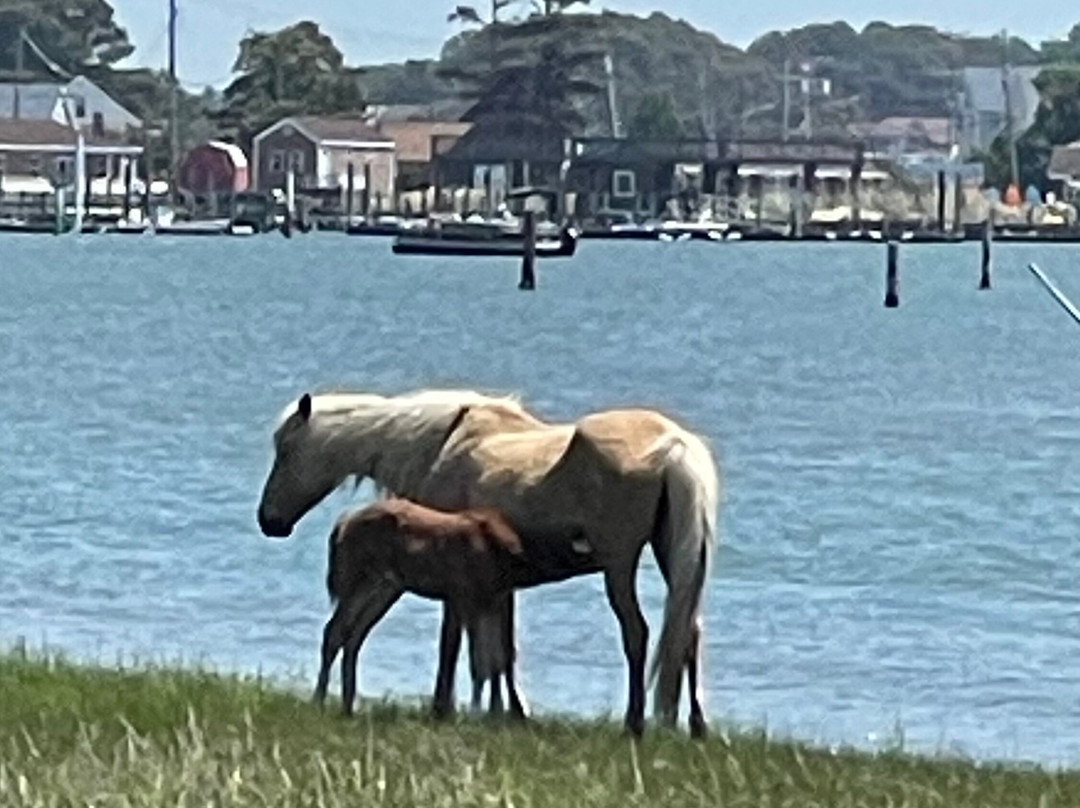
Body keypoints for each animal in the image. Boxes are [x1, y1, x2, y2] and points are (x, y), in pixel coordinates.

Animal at [257, 389, 720, 736]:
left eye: (287, 450)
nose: (268, 521)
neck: (441, 445)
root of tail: (674, 448)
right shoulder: (495, 585)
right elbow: (500, 650)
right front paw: (510, 712)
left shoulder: (455, 576)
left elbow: (454, 642)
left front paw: (442, 707)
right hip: (676, 560)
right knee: (688, 632)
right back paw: (695, 725)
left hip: (619, 565)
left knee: (637, 633)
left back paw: (634, 723)